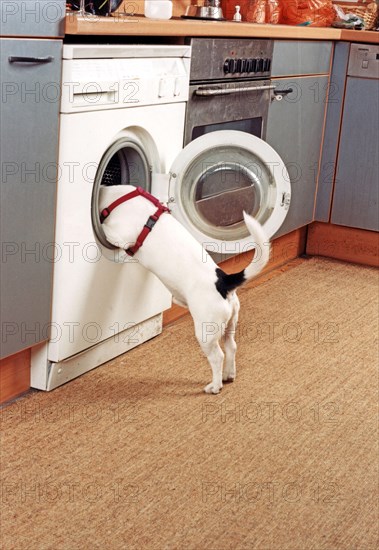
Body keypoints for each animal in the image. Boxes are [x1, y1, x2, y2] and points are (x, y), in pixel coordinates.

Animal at [98, 187, 270, 396]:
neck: (118, 198)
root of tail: (223, 281)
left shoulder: (117, 236)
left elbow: (107, 230)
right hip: (230, 324)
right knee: (231, 347)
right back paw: (228, 375)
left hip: (205, 332)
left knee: (217, 356)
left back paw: (215, 386)